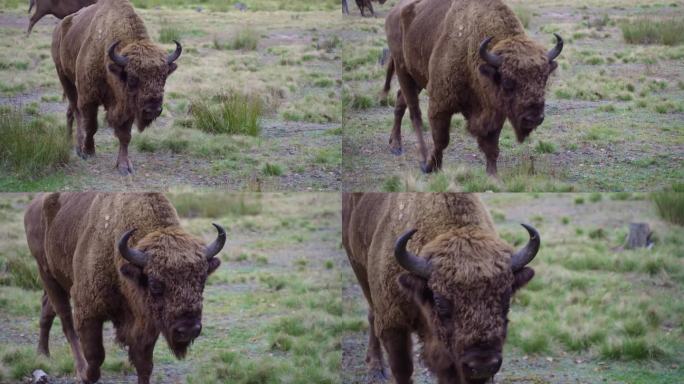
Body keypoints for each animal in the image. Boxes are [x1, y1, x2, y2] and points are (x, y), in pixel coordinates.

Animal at [24, 194, 227, 384]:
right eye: (155, 284)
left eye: (202, 281)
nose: (188, 330)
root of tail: (33, 206)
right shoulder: (87, 310)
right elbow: (96, 357)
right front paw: (85, 375)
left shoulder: (146, 322)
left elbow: (144, 364)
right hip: (46, 272)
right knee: (66, 321)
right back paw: (74, 367)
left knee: (47, 308)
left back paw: (43, 354)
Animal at [51, 0, 182, 176]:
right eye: (132, 78)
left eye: (164, 77)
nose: (153, 109)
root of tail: (60, 27)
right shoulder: (88, 99)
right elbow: (91, 126)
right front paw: (89, 152)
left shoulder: (128, 107)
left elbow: (125, 135)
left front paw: (124, 166)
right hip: (65, 78)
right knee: (76, 113)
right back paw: (78, 148)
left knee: (70, 111)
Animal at [342, 194, 540, 382]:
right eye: (439, 300)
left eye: (506, 298)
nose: (482, 365)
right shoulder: (392, 323)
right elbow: (402, 369)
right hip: (357, 266)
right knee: (371, 315)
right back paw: (376, 369)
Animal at [382, 0, 564, 176]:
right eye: (507, 81)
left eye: (544, 78)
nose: (533, 118)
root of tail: (393, 13)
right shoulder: (439, 104)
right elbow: (441, 140)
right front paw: (432, 166)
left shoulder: (494, 112)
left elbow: (492, 146)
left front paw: (493, 175)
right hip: (402, 69)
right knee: (415, 113)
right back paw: (420, 157)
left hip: (417, 77)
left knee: (400, 101)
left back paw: (395, 145)